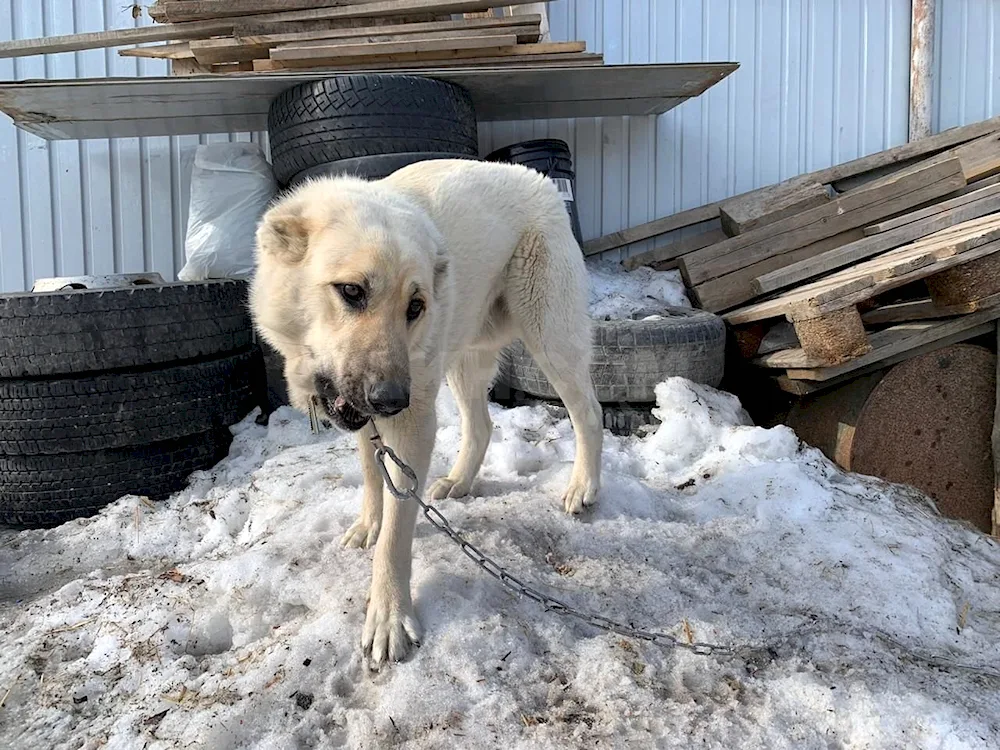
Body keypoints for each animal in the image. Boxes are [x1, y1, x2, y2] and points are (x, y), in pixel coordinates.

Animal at [248, 159, 600, 668]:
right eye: (351, 291)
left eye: (415, 306)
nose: (393, 400)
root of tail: (536, 178)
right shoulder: (365, 416)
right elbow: (373, 476)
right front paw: (368, 526)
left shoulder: (411, 427)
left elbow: (397, 531)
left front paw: (389, 616)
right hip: (463, 361)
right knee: (482, 425)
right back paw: (459, 481)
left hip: (551, 342)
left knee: (589, 413)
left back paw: (583, 487)